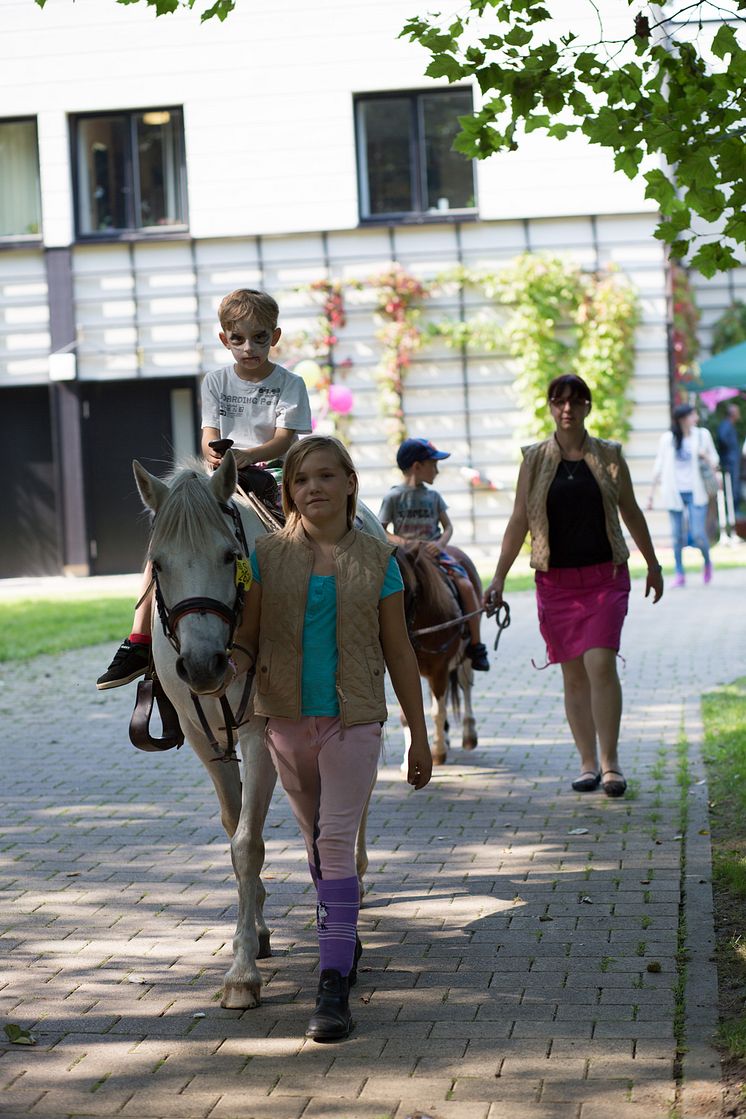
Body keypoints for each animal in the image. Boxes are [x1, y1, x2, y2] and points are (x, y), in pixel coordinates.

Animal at [132, 449, 384, 1011]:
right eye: (158, 564)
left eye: (230, 557)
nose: (202, 665)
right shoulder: (205, 740)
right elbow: (234, 831)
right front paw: (257, 933)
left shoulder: (260, 736)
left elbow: (248, 844)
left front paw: (242, 974)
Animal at [395, 539, 478, 765]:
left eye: (411, 592)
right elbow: (407, 715)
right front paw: (408, 762)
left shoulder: (439, 669)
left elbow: (437, 712)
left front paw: (438, 752)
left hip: (465, 657)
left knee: (466, 684)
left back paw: (468, 734)